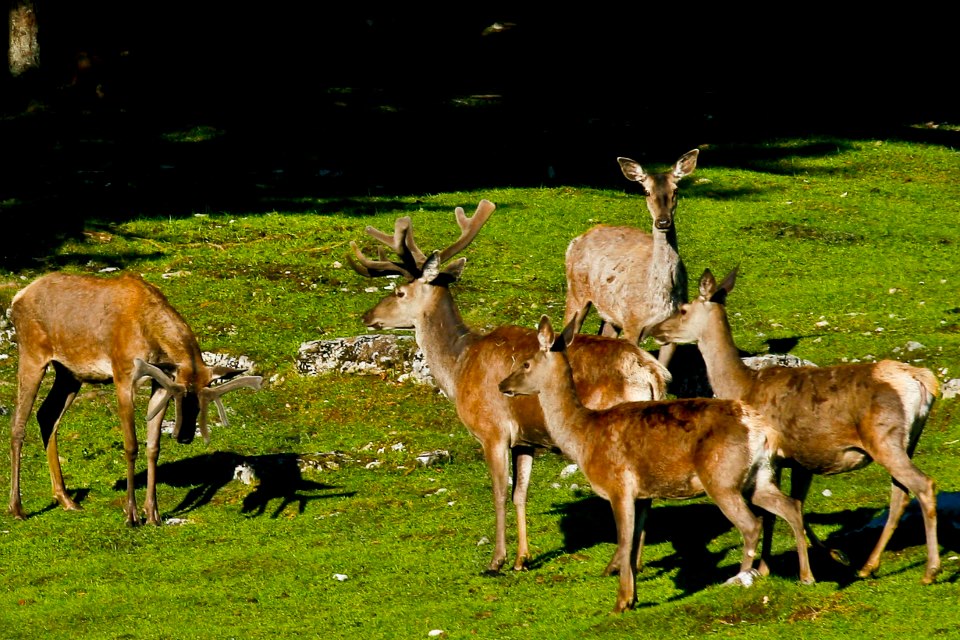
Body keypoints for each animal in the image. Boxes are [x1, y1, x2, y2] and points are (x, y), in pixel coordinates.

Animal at [8, 270, 262, 524]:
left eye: (204, 400)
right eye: (179, 397)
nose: (185, 437)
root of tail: (18, 297)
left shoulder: (160, 383)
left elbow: (153, 447)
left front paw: (152, 513)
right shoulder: (123, 376)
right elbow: (131, 446)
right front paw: (131, 514)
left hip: (69, 373)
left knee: (47, 415)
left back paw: (66, 499)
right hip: (33, 354)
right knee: (19, 423)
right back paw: (17, 507)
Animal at [348, 201, 672, 576]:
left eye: (399, 292)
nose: (367, 316)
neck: (459, 368)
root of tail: (650, 372)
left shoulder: (492, 430)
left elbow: (499, 493)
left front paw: (496, 560)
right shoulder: (526, 440)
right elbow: (521, 494)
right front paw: (522, 559)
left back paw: (616, 564)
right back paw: (636, 561)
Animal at [498, 318, 812, 612]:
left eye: (526, 363)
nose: (502, 385)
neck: (584, 436)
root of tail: (761, 430)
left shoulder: (619, 486)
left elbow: (625, 541)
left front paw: (621, 602)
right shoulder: (641, 493)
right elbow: (635, 538)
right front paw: (632, 597)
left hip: (723, 478)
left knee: (752, 524)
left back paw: (741, 578)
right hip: (760, 477)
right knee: (789, 507)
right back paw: (805, 575)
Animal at [564, 148, 696, 368]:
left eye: (676, 190)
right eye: (646, 191)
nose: (663, 222)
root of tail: (575, 240)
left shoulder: (672, 331)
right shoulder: (631, 321)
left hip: (610, 312)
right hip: (576, 290)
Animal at [648, 268, 940, 584]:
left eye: (683, 309)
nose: (656, 330)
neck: (744, 386)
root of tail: (921, 380)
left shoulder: (775, 456)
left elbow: (777, 511)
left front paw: (773, 566)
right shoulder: (799, 460)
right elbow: (794, 504)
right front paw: (829, 555)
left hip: (885, 438)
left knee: (923, 485)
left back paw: (930, 570)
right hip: (907, 441)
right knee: (900, 495)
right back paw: (867, 565)